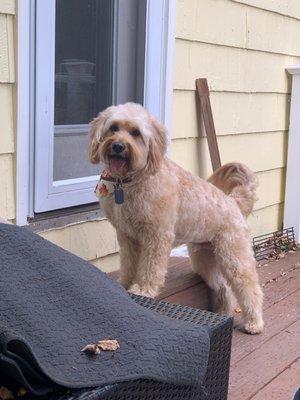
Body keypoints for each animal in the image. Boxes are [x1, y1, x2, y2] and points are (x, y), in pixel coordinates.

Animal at [88, 101, 264, 332]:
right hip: (204, 259)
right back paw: (223, 313)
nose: (117, 146)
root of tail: (233, 201)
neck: (132, 181)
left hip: (234, 257)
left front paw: (143, 289)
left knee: (250, 288)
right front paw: (124, 284)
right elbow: (128, 264)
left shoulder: (157, 236)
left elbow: (151, 268)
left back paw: (255, 323)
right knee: (223, 287)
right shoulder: (127, 237)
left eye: (136, 133)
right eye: (113, 128)